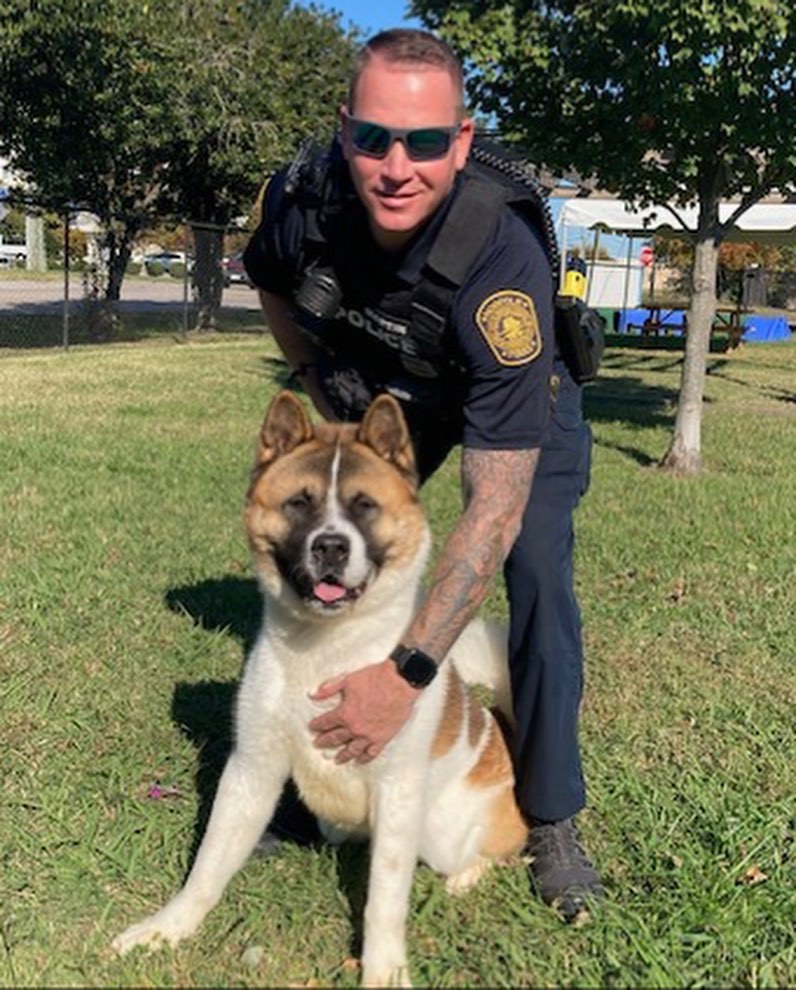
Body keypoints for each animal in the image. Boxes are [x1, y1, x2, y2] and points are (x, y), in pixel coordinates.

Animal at [109, 392, 524, 988]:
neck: (326, 648)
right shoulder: (251, 770)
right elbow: (209, 862)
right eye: (299, 504)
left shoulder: (398, 793)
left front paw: (384, 971)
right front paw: (168, 928)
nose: (330, 547)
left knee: (502, 849)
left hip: (442, 832)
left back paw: (467, 876)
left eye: (364, 506)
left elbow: (384, 901)